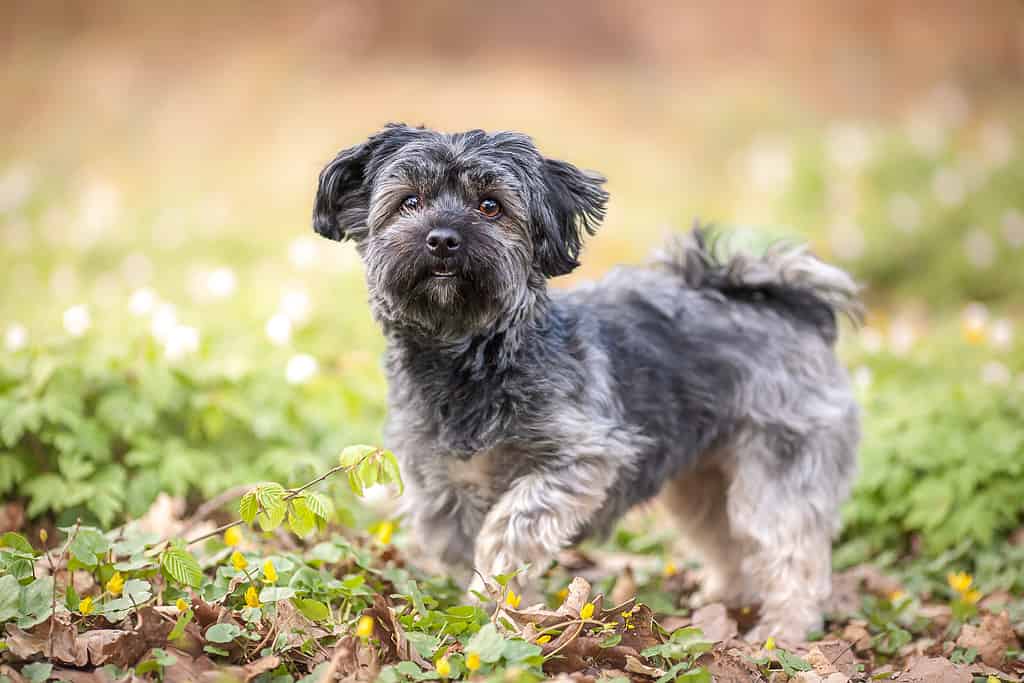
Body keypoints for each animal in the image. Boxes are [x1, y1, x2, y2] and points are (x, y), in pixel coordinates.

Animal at [311, 122, 864, 643]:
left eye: (491, 206)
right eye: (410, 202)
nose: (443, 238)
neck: (469, 358)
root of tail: (789, 305)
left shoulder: (583, 455)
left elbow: (509, 528)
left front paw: (501, 608)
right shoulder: (439, 482)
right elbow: (455, 544)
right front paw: (482, 609)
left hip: (780, 467)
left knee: (790, 552)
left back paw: (781, 633)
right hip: (703, 480)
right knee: (727, 542)